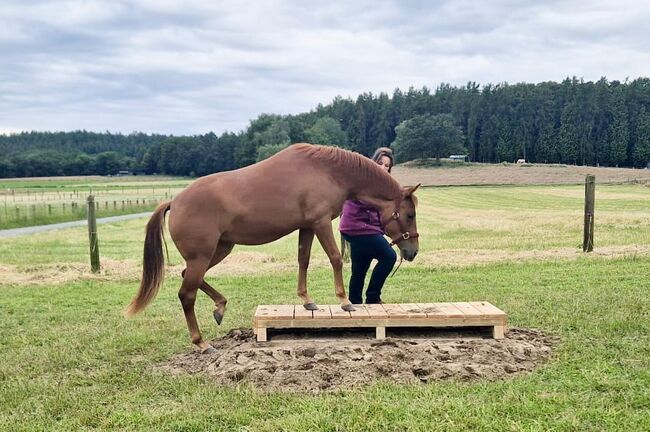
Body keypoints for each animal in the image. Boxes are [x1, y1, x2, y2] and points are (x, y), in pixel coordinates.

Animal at [125, 143, 420, 352]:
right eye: (409, 214)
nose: (413, 251)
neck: (327, 171)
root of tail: (174, 202)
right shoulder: (321, 222)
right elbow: (335, 258)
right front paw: (345, 301)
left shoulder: (307, 226)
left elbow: (304, 259)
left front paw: (307, 301)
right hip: (203, 256)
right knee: (186, 294)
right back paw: (202, 342)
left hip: (220, 249)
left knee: (190, 279)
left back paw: (220, 307)